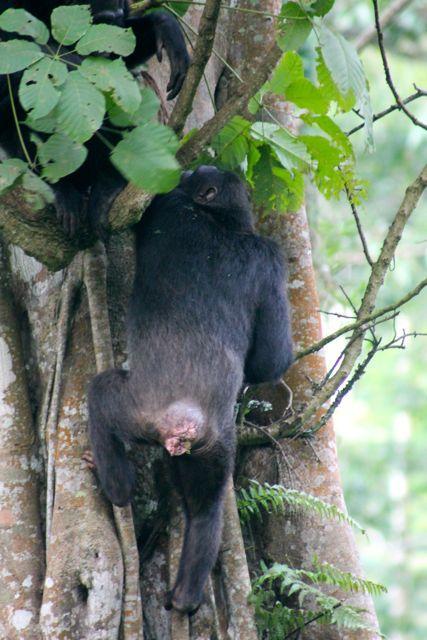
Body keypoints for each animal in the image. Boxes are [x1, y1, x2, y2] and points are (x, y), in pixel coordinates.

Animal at [0, 0, 191, 235]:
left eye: (110, 23)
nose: (103, 49)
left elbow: (125, 48)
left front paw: (164, 25)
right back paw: (59, 188)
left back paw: (109, 184)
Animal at [87, 166, 294, 616]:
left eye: (195, 173)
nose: (187, 168)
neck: (223, 223)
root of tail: (186, 423)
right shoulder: (272, 259)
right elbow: (271, 359)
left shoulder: (169, 206)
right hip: (213, 449)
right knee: (206, 511)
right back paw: (185, 595)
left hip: (135, 407)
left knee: (99, 399)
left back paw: (114, 485)